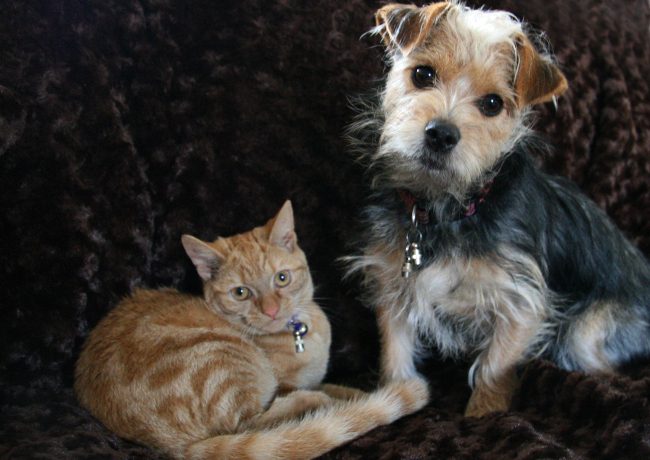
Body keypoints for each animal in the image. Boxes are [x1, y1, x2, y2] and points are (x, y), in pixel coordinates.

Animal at [73, 201, 428, 460]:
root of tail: (178, 447)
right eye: (241, 293)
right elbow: (308, 396)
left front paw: (359, 394)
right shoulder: (282, 384)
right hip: (223, 358)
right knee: (249, 425)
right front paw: (338, 398)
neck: (300, 334)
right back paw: (309, 402)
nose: (270, 310)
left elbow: (338, 386)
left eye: (282, 278)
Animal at [346, 0, 648, 416]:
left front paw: (484, 413)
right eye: (423, 75)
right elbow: (395, 353)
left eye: (492, 104)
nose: (441, 134)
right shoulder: (394, 285)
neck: (447, 208)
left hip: (587, 332)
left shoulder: (520, 300)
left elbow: (494, 365)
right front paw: (396, 397)